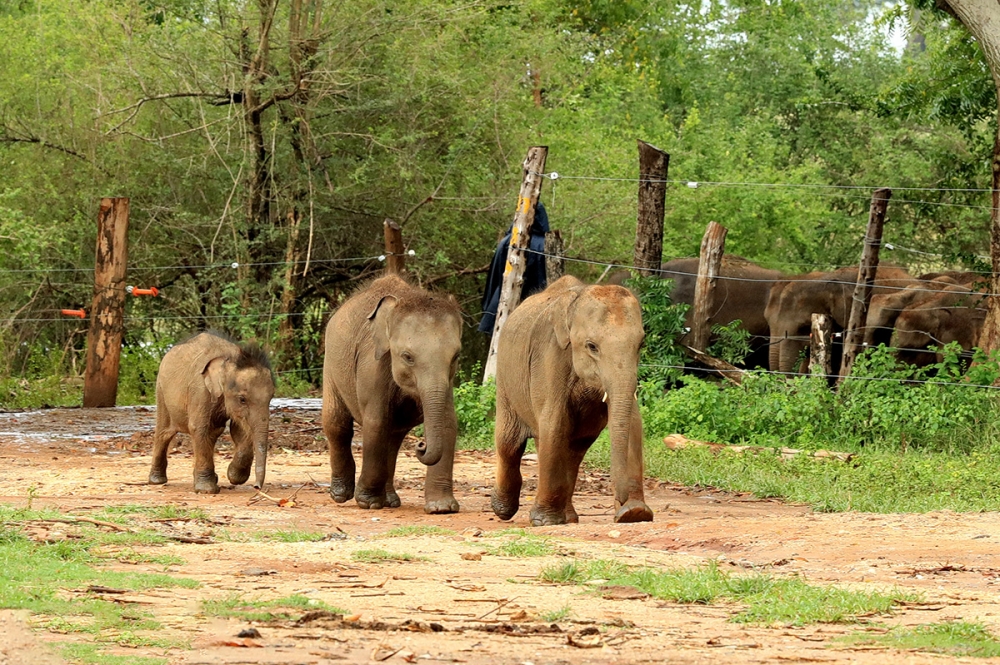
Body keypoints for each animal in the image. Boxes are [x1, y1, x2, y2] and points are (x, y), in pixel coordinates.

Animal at [149, 331, 274, 494]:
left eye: (272, 397)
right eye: (242, 399)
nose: (257, 486)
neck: (230, 358)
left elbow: (239, 429)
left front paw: (235, 477)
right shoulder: (200, 390)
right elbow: (199, 428)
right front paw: (207, 490)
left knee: (214, 432)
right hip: (161, 391)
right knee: (164, 432)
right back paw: (157, 481)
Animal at [322, 274, 463, 514]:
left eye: (456, 356)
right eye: (407, 356)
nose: (421, 445)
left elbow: (447, 422)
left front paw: (442, 508)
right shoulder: (373, 362)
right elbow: (376, 421)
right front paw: (368, 503)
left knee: (393, 437)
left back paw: (390, 501)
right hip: (331, 365)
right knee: (337, 424)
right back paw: (341, 495)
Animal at [491, 275, 652, 526]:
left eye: (641, 345)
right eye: (592, 346)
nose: (621, 504)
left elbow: (635, 423)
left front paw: (636, 513)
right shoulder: (550, 356)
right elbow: (554, 422)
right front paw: (545, 522)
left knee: (574, 449)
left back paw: (569, 518)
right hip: (506, 381)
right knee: (509, 442)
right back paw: (503, 510)